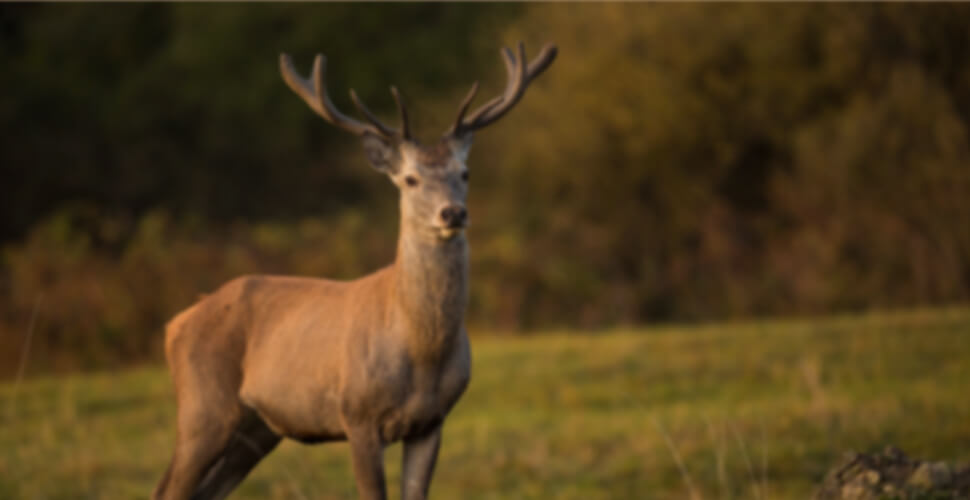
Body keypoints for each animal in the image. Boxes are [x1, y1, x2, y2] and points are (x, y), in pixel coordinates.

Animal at [152, 41, 557, 500]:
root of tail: (176, 323)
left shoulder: (432, 421)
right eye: (410, 179)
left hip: (258, 429)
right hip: (203, 408)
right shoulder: (357, 415)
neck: (420, 352)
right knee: (168, 488)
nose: (453, 212)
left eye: (465, 173)